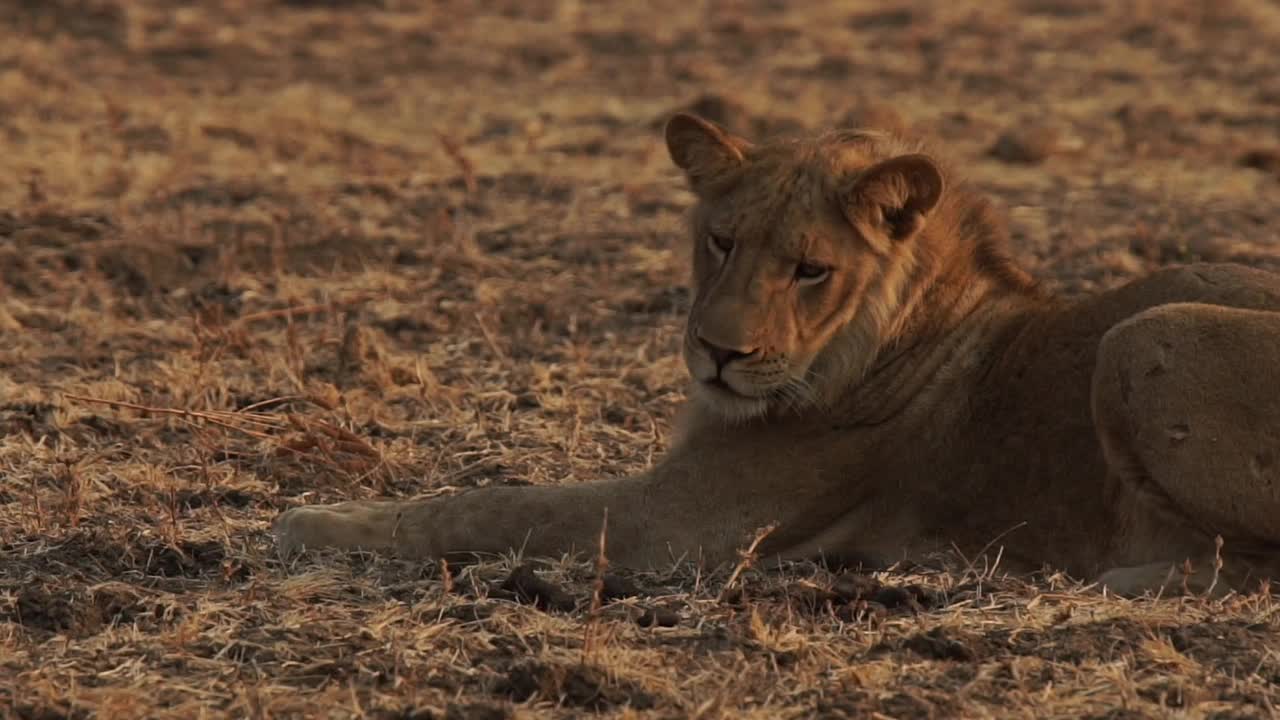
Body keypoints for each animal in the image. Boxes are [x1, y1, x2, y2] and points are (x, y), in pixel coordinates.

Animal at [275, 112, 1280, 594]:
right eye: (721, 242)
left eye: (810, 270)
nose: (718, 354)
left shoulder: (677, 525)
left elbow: (488, 504)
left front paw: (311, 522)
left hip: (1139, 338)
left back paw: (1123, 576)